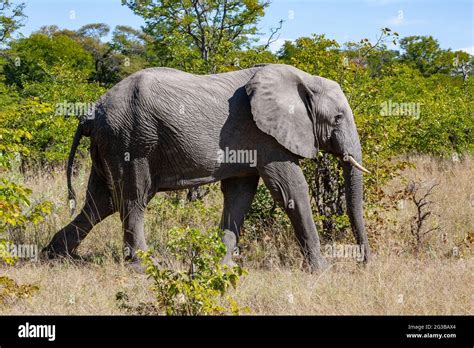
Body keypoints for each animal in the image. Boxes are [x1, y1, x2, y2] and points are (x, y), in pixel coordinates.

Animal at [43, 63, 370, 272]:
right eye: (338, 118)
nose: (364, 263)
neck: (304, 79)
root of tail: (91, 112)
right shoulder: (267, 137)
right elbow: (291, 191)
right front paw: (322, 271)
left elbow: (239, 196)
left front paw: (221, 267)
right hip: (131, 140)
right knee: (132, 200)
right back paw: (143, 266)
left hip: (109, 143)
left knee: (101, 202)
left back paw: (56, 255)